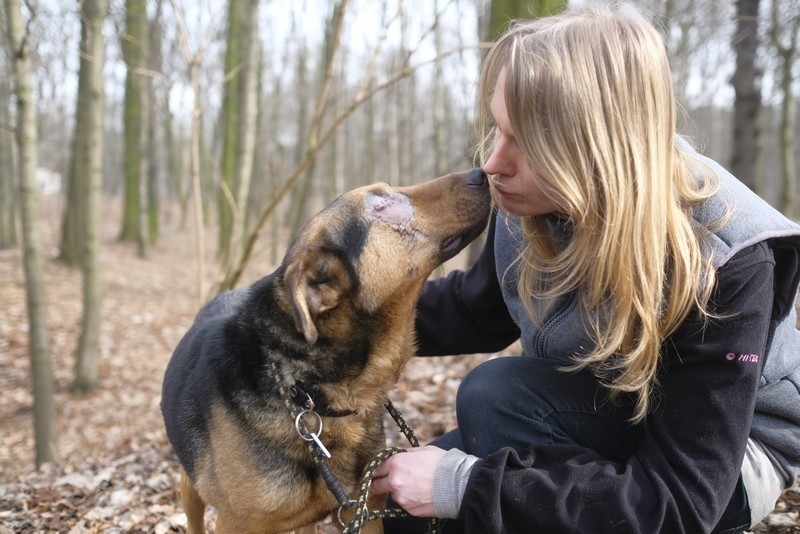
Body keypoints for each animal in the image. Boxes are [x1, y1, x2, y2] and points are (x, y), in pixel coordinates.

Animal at [159, 170, 490, 532]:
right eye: (381, 205)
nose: (481, 173)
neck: (309, 392)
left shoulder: (365, 509)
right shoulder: (237, 523)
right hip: (190, 487)